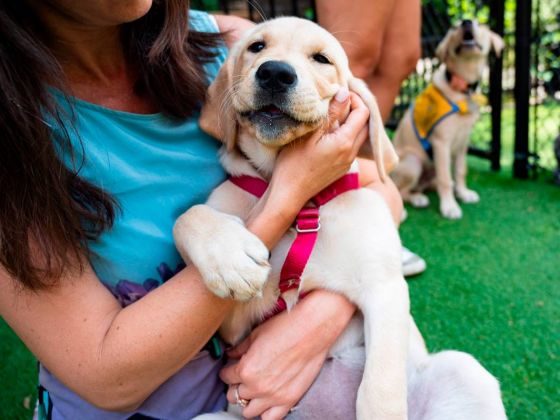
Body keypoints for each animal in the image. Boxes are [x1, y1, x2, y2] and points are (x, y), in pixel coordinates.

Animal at [390, 20, 504, 220]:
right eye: (454, 27)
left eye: (480, 24)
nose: (466, 22)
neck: (462, 89)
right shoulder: (441, 143)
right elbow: (445, 178)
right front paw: (449, 207)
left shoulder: (463, 143)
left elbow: (460, 171)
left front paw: (463, 193)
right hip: (413, 162)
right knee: (402, 190)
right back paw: (416, 199)